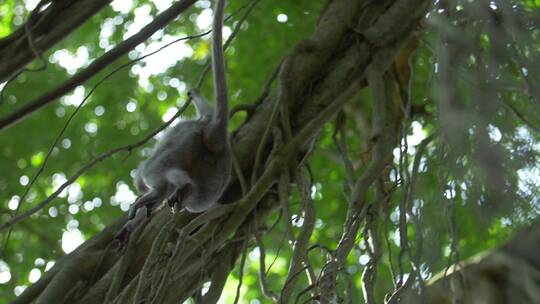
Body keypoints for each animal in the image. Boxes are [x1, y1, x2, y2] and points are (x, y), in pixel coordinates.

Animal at [118, 0, 230, 242]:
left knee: (155, 172)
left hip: (182, 142)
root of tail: (213, 139)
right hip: (212, 180)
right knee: (191, 194)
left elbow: (148, 180)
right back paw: (179, 191)